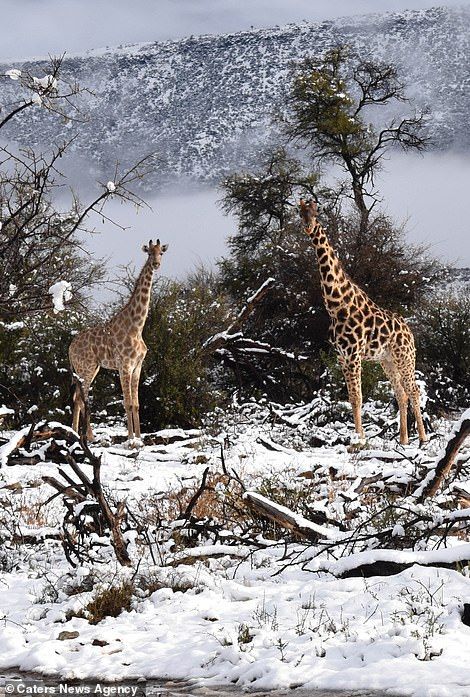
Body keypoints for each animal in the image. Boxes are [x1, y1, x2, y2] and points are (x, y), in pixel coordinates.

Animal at [68, 239, 167, 440]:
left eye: (161, 252)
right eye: (149, 253)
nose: (156, 264)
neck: (136, 327)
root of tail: (69, 348)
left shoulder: (137, 366)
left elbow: (136, 404)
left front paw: (139, 437)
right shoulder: (124, 365)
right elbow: (127, 403)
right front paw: (130, 439)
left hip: (92, 368)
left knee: (78, 398)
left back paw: (79, 434)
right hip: (86, 368)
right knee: (81, 398)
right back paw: (85, 436)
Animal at [300, 198, 428, 444]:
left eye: (316, 212)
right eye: (300, 213)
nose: (308, 228)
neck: (337, 304)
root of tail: (409, 331)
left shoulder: (353, 355)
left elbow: (358, 397)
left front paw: (359, 440)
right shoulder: (342, 357)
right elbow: (351, 397)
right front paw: (357, 437)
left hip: (405, 357)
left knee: (414, 390)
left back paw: (423, 438)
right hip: (387, 361)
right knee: (401, 393)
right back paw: (404, 440)